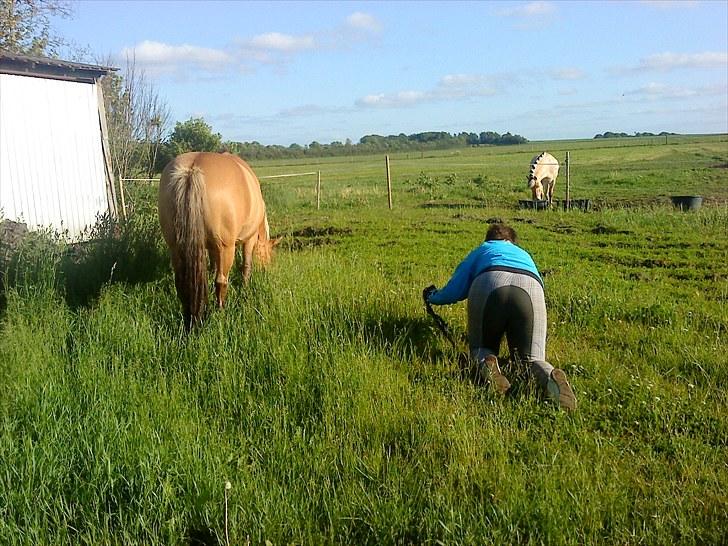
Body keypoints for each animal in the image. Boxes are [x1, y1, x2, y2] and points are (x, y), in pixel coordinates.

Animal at [158, 151, 278, 326]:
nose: (267, 271)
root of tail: (192, 170)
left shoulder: (211, 247)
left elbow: (212, 266)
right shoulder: (249, 239)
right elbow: (246, 266)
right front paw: (245, 289)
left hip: (175, 247)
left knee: (180, 281)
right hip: (226, 248)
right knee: (221, 281)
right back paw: (221, 313)